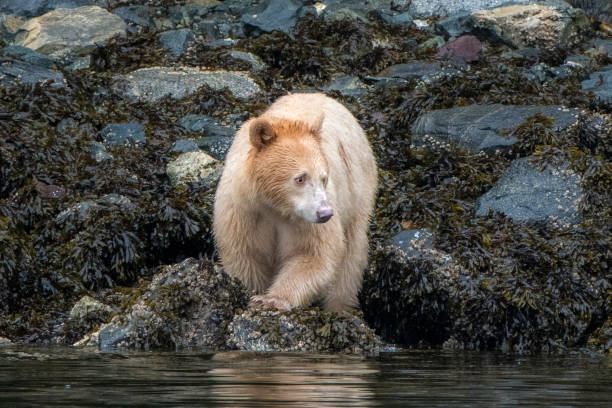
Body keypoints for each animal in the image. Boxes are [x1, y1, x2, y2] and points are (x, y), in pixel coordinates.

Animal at [215, 92, 378, 312]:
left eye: (324, 178)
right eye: (300, 178)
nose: (325, 213)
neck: (274, 206)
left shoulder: (304, 220)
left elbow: (314, 255)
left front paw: (272, 299)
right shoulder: (243, 211)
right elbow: (245, 255)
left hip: (357, 191)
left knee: (352, 253)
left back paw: (339, 305)